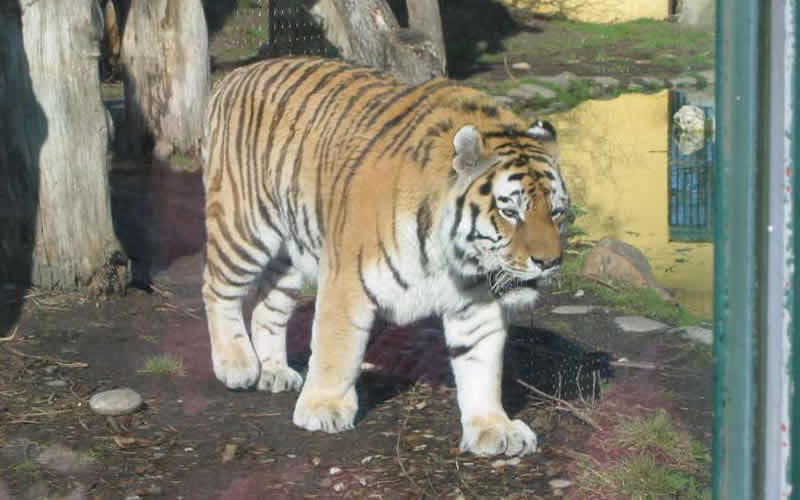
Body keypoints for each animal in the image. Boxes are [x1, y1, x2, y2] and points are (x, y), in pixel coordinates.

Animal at [203, 55, 572, 458]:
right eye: (510, 213)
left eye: (556, 213)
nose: (549, 262)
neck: (453, 260)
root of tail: (237, 74)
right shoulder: (346, 280)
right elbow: (337, 347)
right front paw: (323, 408)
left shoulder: (476, 302)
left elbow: (482, 363)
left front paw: (493, 426)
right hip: (243, 226)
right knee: (216, 289)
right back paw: (236, 364)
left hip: (288, 256)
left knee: (267, 305)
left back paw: (275, 372)